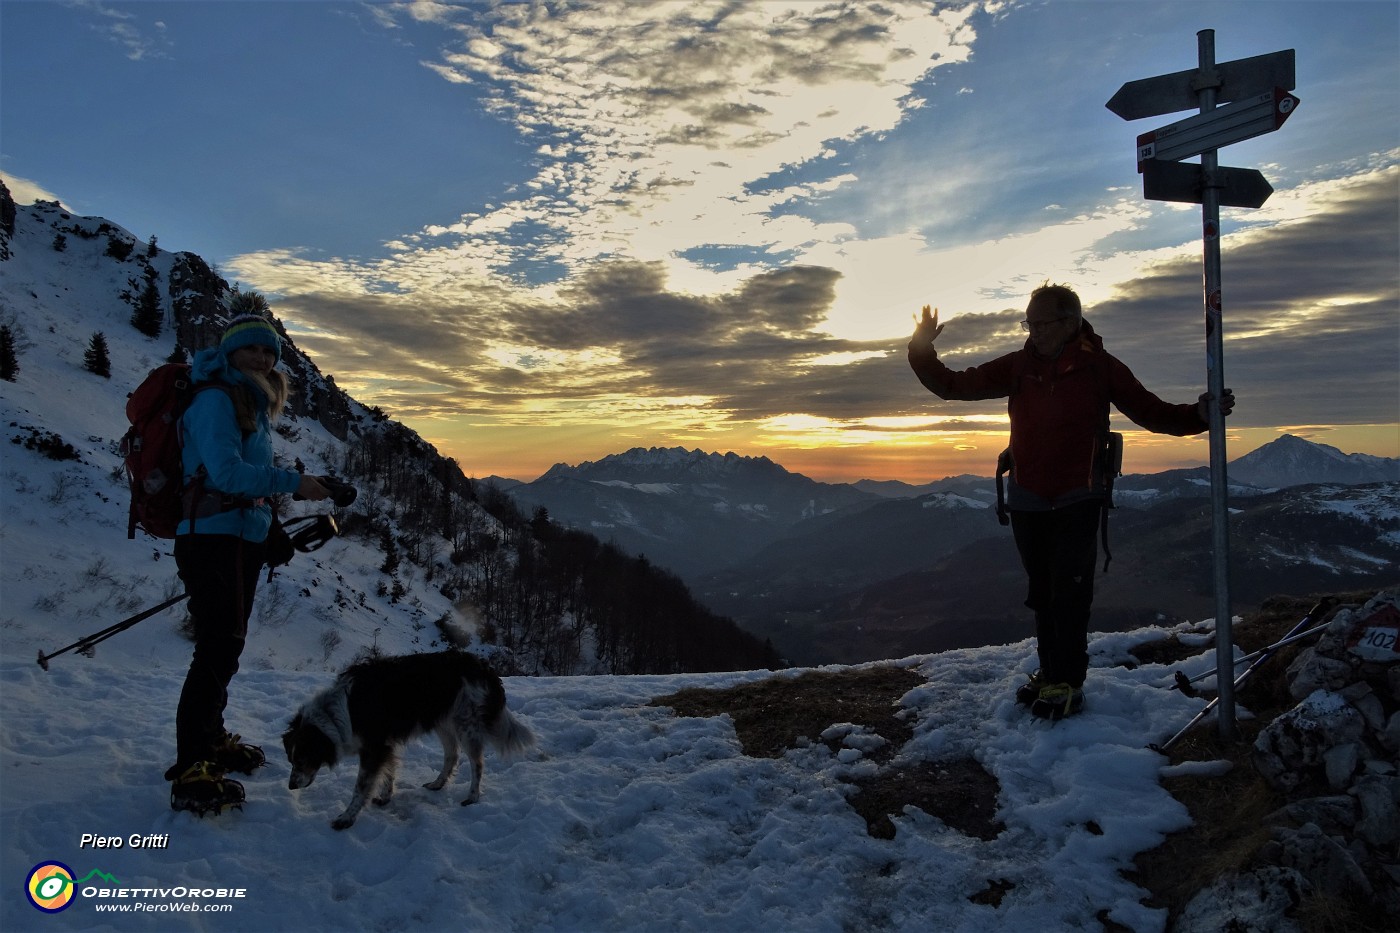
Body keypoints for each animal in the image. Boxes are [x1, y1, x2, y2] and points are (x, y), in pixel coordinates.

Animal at [281, 647, 532, 829]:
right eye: (291, 761)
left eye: (302, 760)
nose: (291, 786)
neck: (339, 714)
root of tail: (483, 666)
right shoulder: (385, 746)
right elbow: (389, 772)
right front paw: (385, 798)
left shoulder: (374, 749)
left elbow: (361, 787)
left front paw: (347, 818)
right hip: (444, 723)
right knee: (452, 755)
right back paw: (438, 784)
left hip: (466, 726)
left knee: (476, 763)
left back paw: (472, 797)